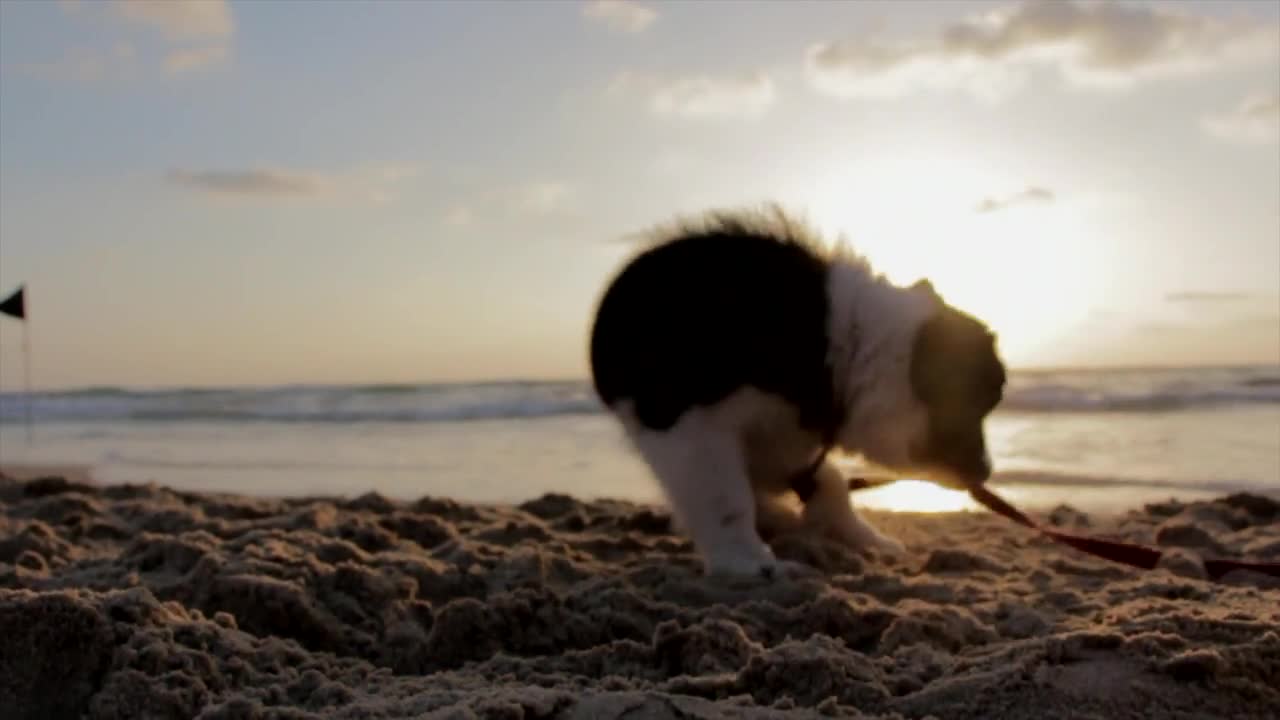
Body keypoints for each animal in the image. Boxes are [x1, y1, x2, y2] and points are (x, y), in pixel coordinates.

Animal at [588, 207, 1008, 576]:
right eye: (979, 404)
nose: (987, 471)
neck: (844, 345)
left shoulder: (786, 440)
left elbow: (828, 482)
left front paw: (862, 538)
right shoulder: (689, 424)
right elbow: (725, 497)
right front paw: (746, 563)